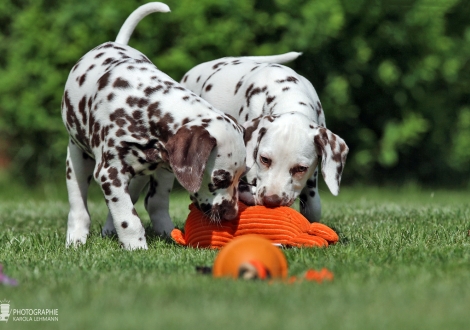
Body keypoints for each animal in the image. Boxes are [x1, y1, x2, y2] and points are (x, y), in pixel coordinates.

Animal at [61, 3, 246, 250]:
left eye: (241, 177)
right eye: (220, 179)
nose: (231, 214)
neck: (144, 106)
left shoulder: (166, 167)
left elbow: (152, 203)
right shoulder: (110, 173)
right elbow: (128, 218)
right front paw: (136, 247)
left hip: (145, 173)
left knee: (148, 202)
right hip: (77, 160)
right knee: (79, 206)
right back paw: (76, 238)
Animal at [180, 54, 348, 223]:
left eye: (301, 168)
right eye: (265, 159)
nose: (271, 200)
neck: (288, 95)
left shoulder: (312, 180)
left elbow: (313, 208)